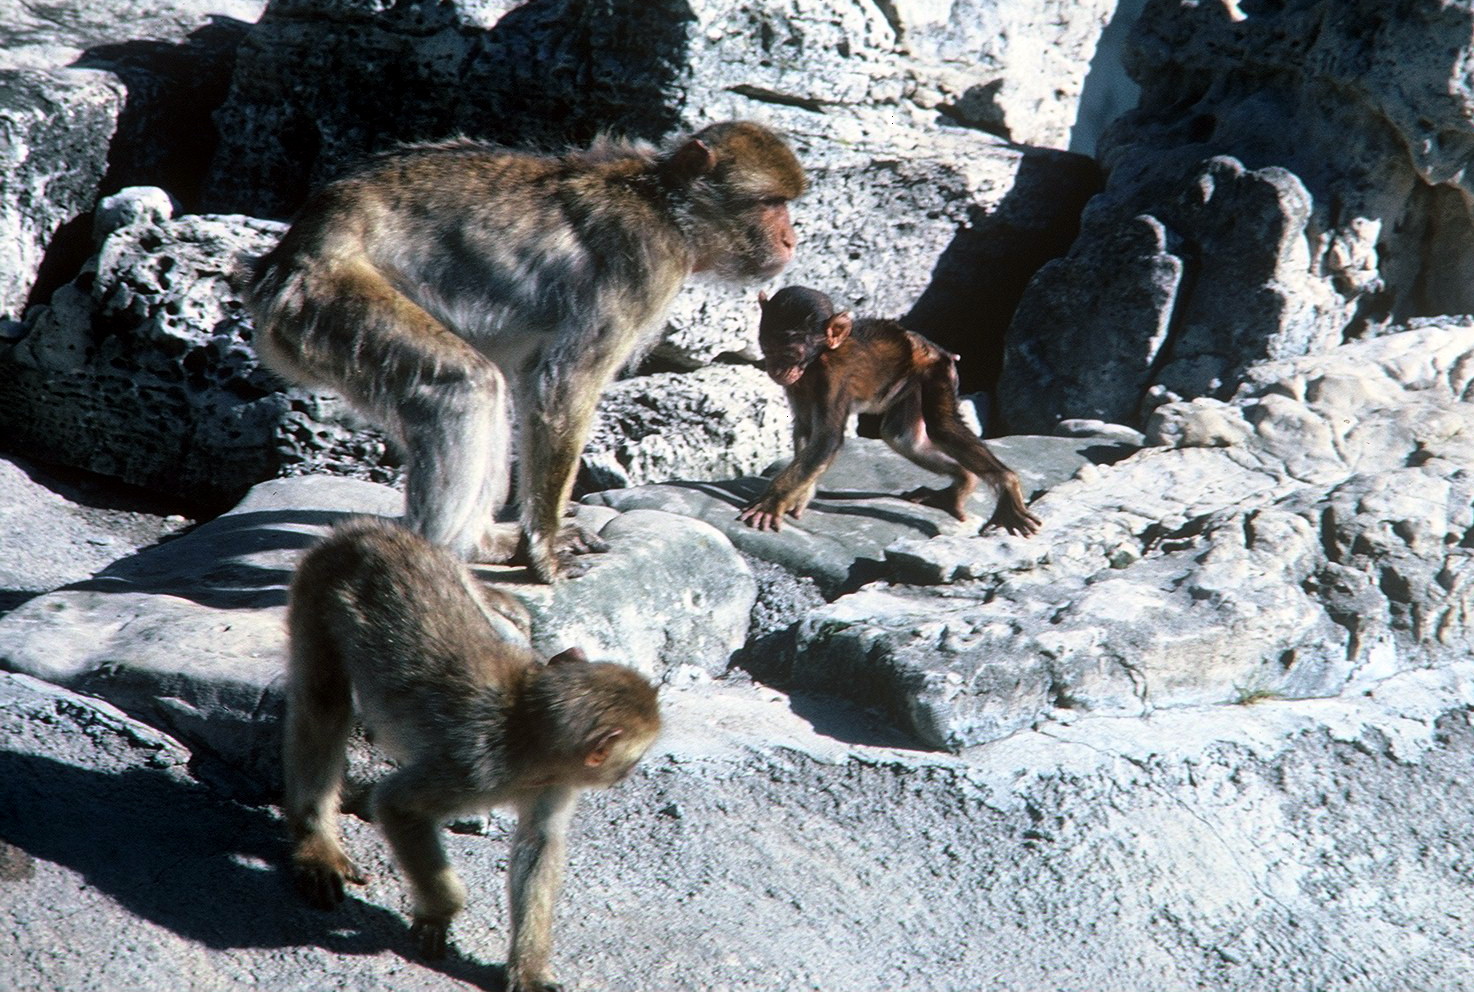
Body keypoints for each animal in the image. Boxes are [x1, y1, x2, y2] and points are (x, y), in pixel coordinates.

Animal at [248, 121, 807, 583]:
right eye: (768, 203)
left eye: (787, 203)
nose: (791, 239)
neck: (667, 207)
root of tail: (287, 253)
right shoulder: (643, 265)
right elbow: (560, 389)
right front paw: (546, 552)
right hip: (322, 299)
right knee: (463, 384)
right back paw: (446, 555)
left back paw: (484, 541)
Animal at [282, 517, 661, 991]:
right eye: (635, 758)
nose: (629, 774)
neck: (526, 733)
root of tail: (364, 529)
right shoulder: (473, 769)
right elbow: (397, 805)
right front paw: (440, 909)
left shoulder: (555, 780)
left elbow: (539, 846)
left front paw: (529, 968)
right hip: (319, 585)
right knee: (324, 701)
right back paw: (316, 840)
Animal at [738, 286, 1042, 537]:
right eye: (768, 348)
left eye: (791, 354)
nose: (777, 369)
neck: (818, 359)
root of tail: (935, 349)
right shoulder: (798, 385)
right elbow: (806, 430)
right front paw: (800, 496)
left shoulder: (834, 377)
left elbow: (825, 440)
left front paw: (772, 501)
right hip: (910, 385)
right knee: (903, 438)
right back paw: (962, 483)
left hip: (937, 371)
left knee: (941, 426)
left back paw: (1006, 483)